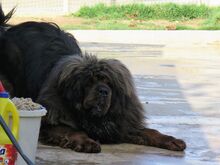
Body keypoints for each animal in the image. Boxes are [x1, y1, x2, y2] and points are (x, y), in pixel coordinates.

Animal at [0, 5, 186, 153]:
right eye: (88, 82)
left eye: (109, 83)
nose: (103, 91)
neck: (91, 117)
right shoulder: (51, 122)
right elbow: (73, 130)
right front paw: (86, 142)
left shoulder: (120, 124)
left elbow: (149, 131)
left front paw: (170, 139)